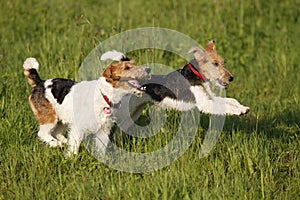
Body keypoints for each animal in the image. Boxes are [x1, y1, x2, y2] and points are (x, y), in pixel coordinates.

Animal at [22, 54, 152, 156]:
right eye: (126, 67)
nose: (148, 69)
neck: (104, 95)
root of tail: (40, 83)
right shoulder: (78, 128)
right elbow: (74, 147)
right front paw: (71, 159)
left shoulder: (103, 129)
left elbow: (101, 149)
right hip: (50, 118)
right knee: (42, 133)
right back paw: (57, 144)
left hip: (62, 119)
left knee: (56, 133)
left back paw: (63, 142)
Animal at [116, 40, 250, 130]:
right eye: (215, 64)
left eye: (223, 62)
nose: (231, 78)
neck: (196, 76)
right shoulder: (205, 103)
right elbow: (226, 106)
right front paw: (240, 111)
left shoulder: (210, 97)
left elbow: (231, 101)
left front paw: (243, 108)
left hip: (134, 112)